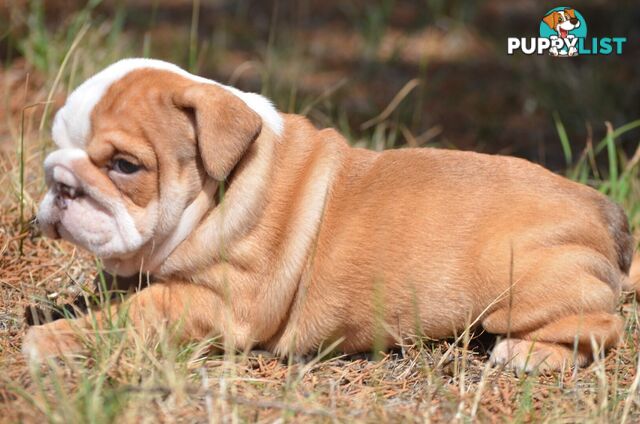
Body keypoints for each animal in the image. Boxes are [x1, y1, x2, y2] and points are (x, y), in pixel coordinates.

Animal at [23, 58, 636, 372]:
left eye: (125, 166)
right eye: (55, 145)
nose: (60, 183)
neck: (222, 186)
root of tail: (602, 209)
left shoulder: (214, 304)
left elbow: (128, 316)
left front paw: (49, 340)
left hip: (514, 284)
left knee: (604, 325)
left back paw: (527, 353)